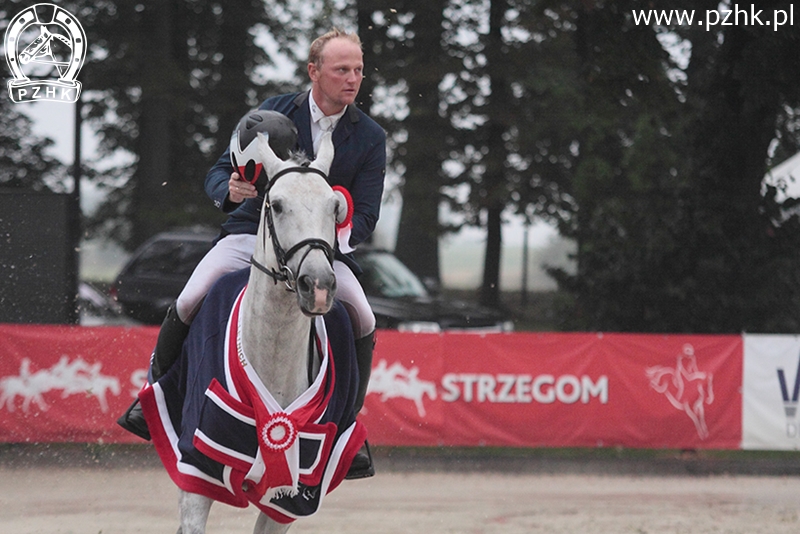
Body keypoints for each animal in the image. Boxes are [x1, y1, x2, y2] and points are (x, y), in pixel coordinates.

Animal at [140, 133, 368, 534]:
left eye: (335, 208)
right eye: (275, 205)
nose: (318, 286)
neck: (273, 353)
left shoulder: (292, 494)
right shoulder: (198, 468)